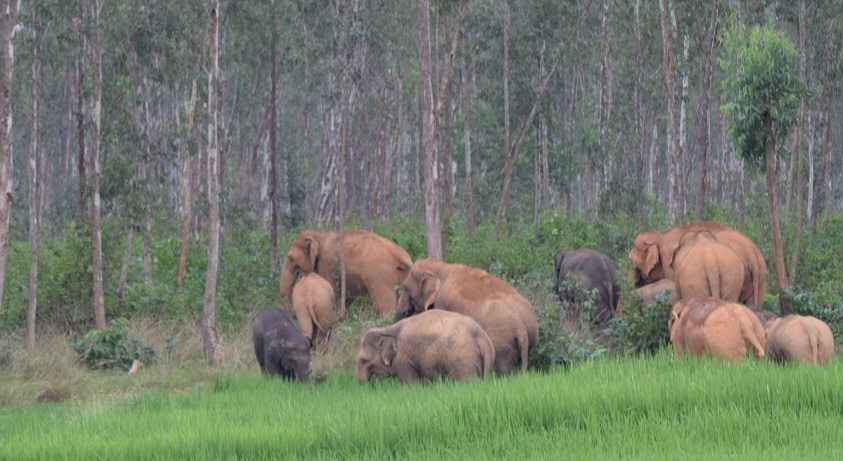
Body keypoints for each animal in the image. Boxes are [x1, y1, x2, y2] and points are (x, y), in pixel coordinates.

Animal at [279, 230, 413, 318]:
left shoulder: (327, 266)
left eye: (290, 258)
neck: (318, 235)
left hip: (379, 278)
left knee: (385, 308)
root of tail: (400, 255)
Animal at [355, 309, 495, 384]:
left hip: (463, 360)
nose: (367, 384)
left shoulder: (403, 359)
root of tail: (480, 335)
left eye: (364, 360)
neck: (387, 329)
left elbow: (410, 383)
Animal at [394, 258, 537, 375]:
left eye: (406, 288)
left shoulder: (443, 300)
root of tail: (520, 326)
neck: (441, 267)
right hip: (528, 337)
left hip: (502, 343)